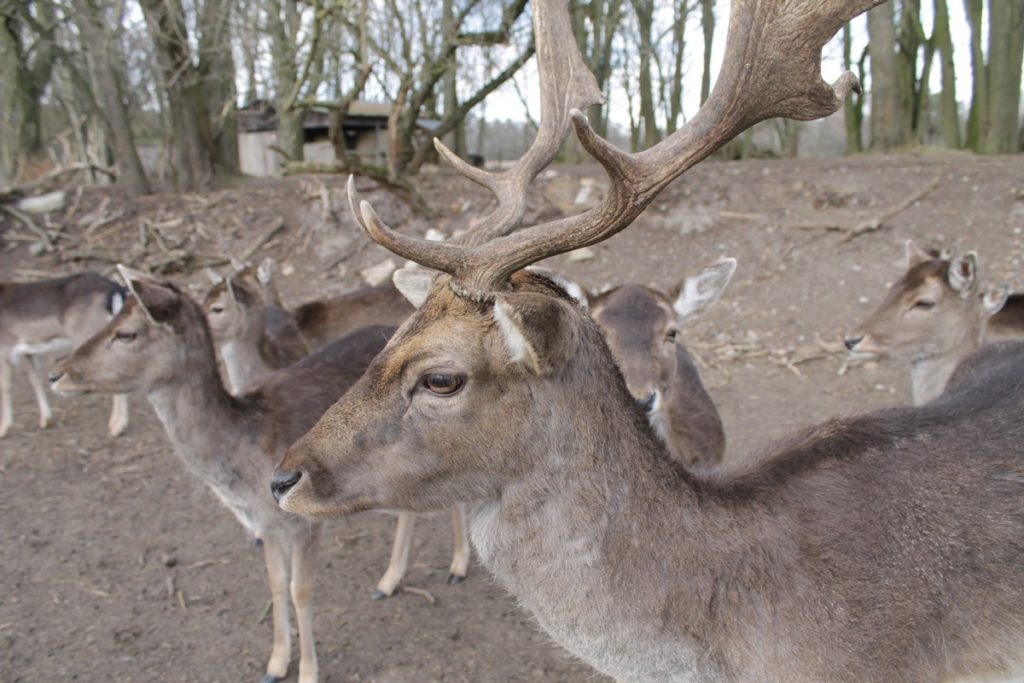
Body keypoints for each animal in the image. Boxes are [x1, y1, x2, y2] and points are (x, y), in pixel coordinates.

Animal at [0, 272, 130, 438]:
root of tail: (114, 288)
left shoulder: (5, 347)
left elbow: (5, 386)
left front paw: (3, 429)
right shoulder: (30, 350)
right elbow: (35, 380)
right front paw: (46, 420)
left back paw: (117, 427)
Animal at [50, 266, 399, 683]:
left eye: (126, 333)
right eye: (113, 317)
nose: (58, 372)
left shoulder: (304, 521)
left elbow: (300, 589)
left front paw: (308, 672)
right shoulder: (265, 526)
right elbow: (276, 585)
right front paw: (276, 663)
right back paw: (390, 580)